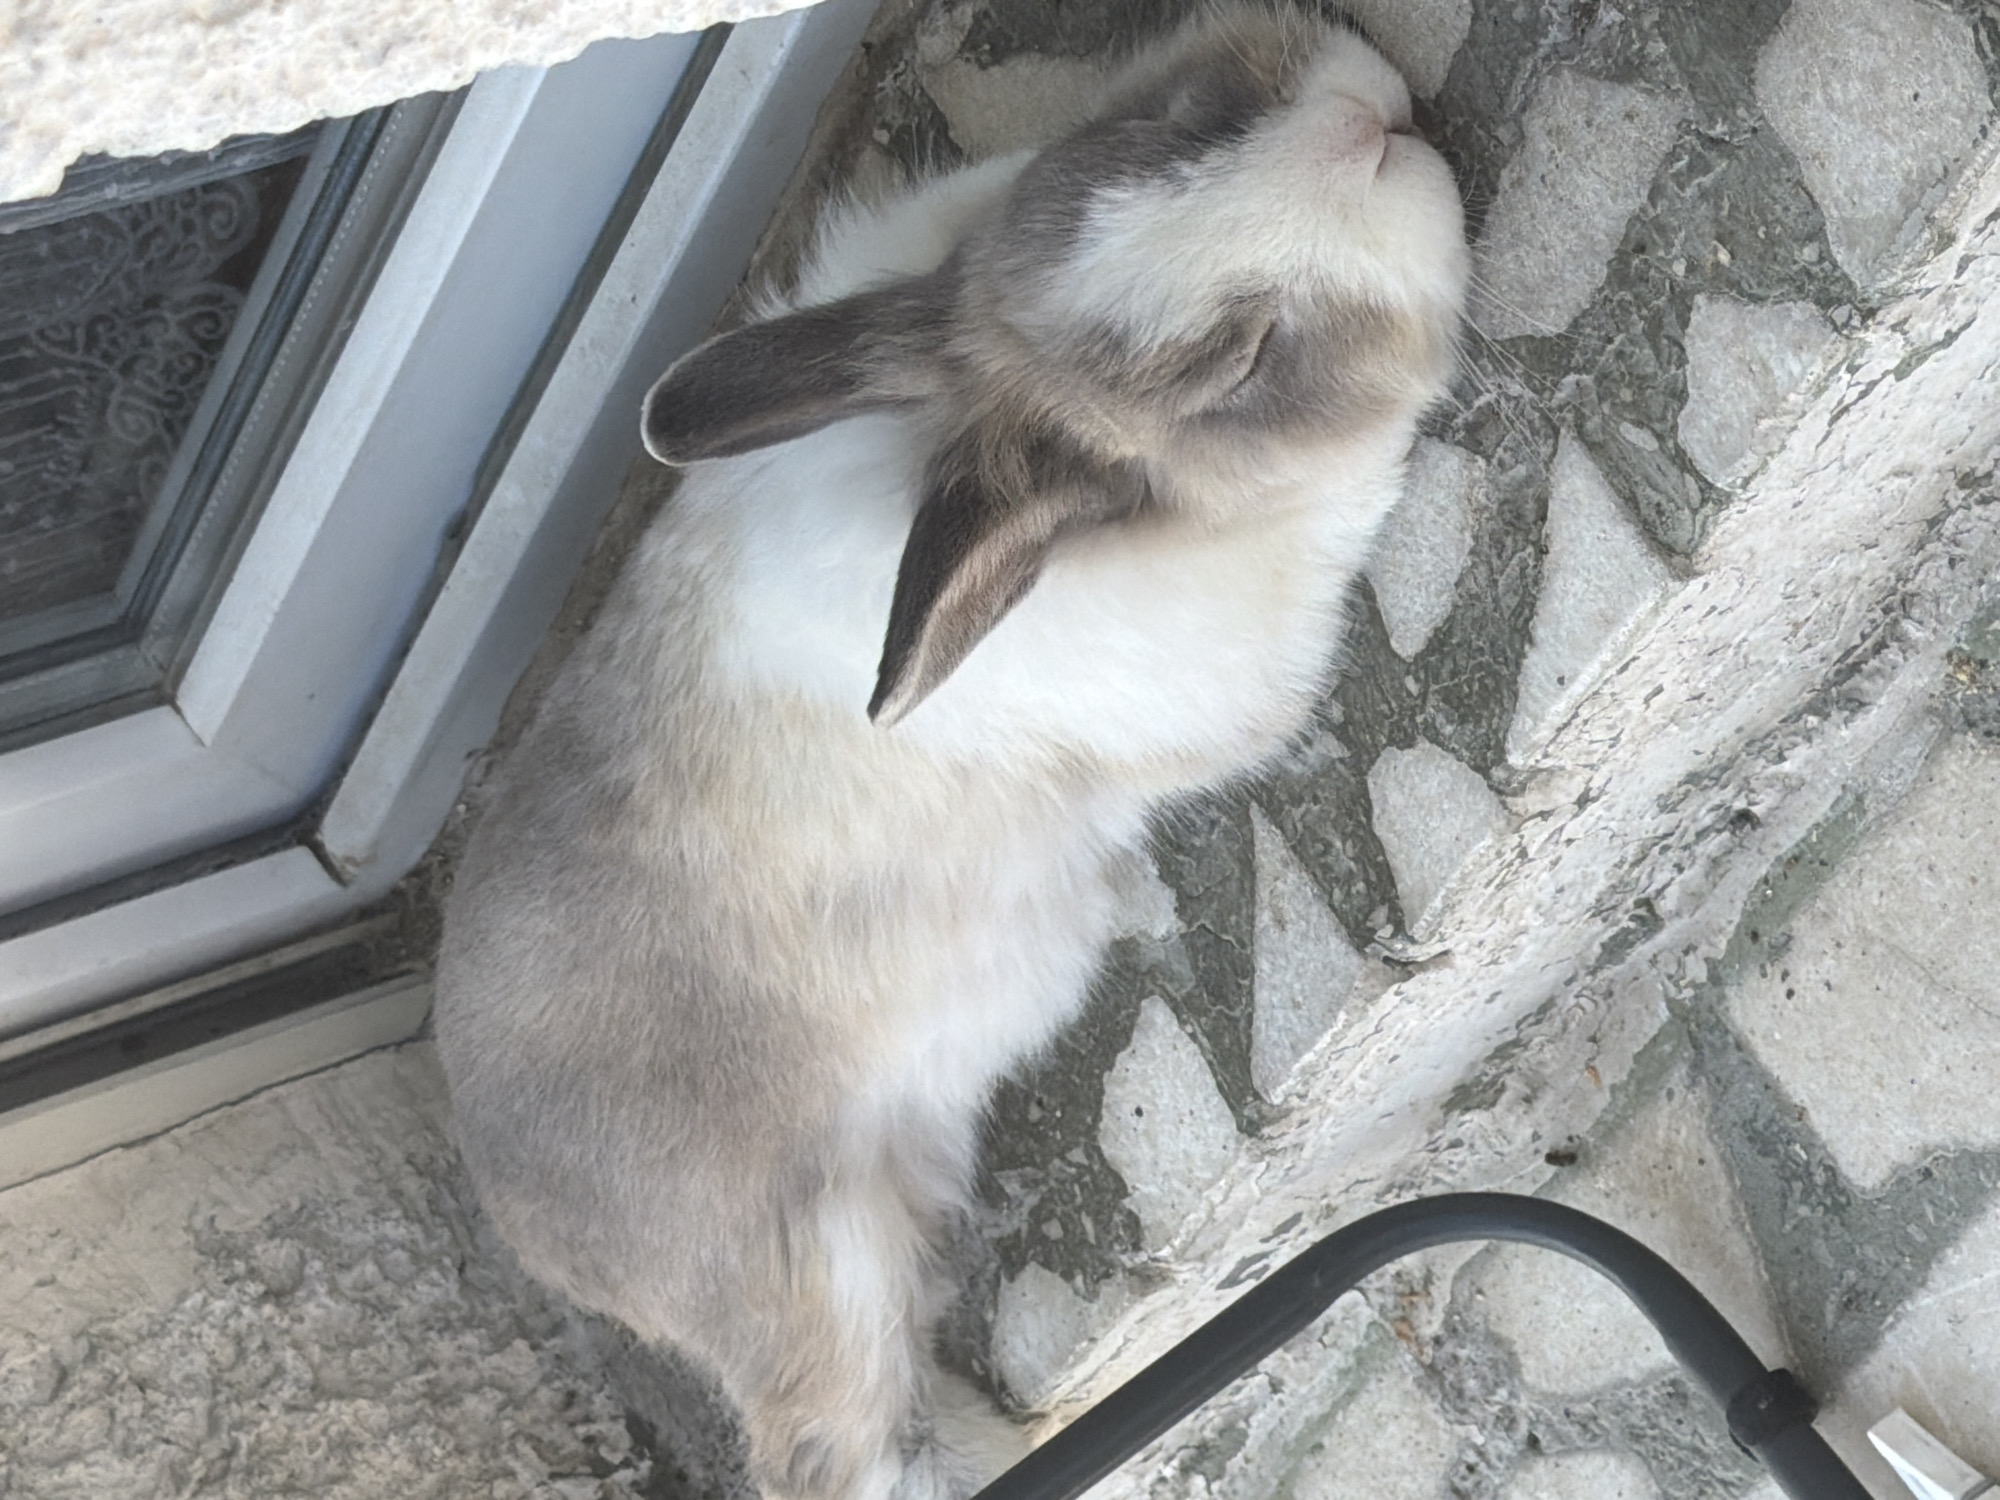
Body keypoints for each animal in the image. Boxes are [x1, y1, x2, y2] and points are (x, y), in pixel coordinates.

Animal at [432, 7, 1468, 1500]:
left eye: (1190, 124)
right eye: (1241, 358)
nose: (1367, 128)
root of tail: (518, 1212)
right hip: (826, 1277)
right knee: (843, 1445)